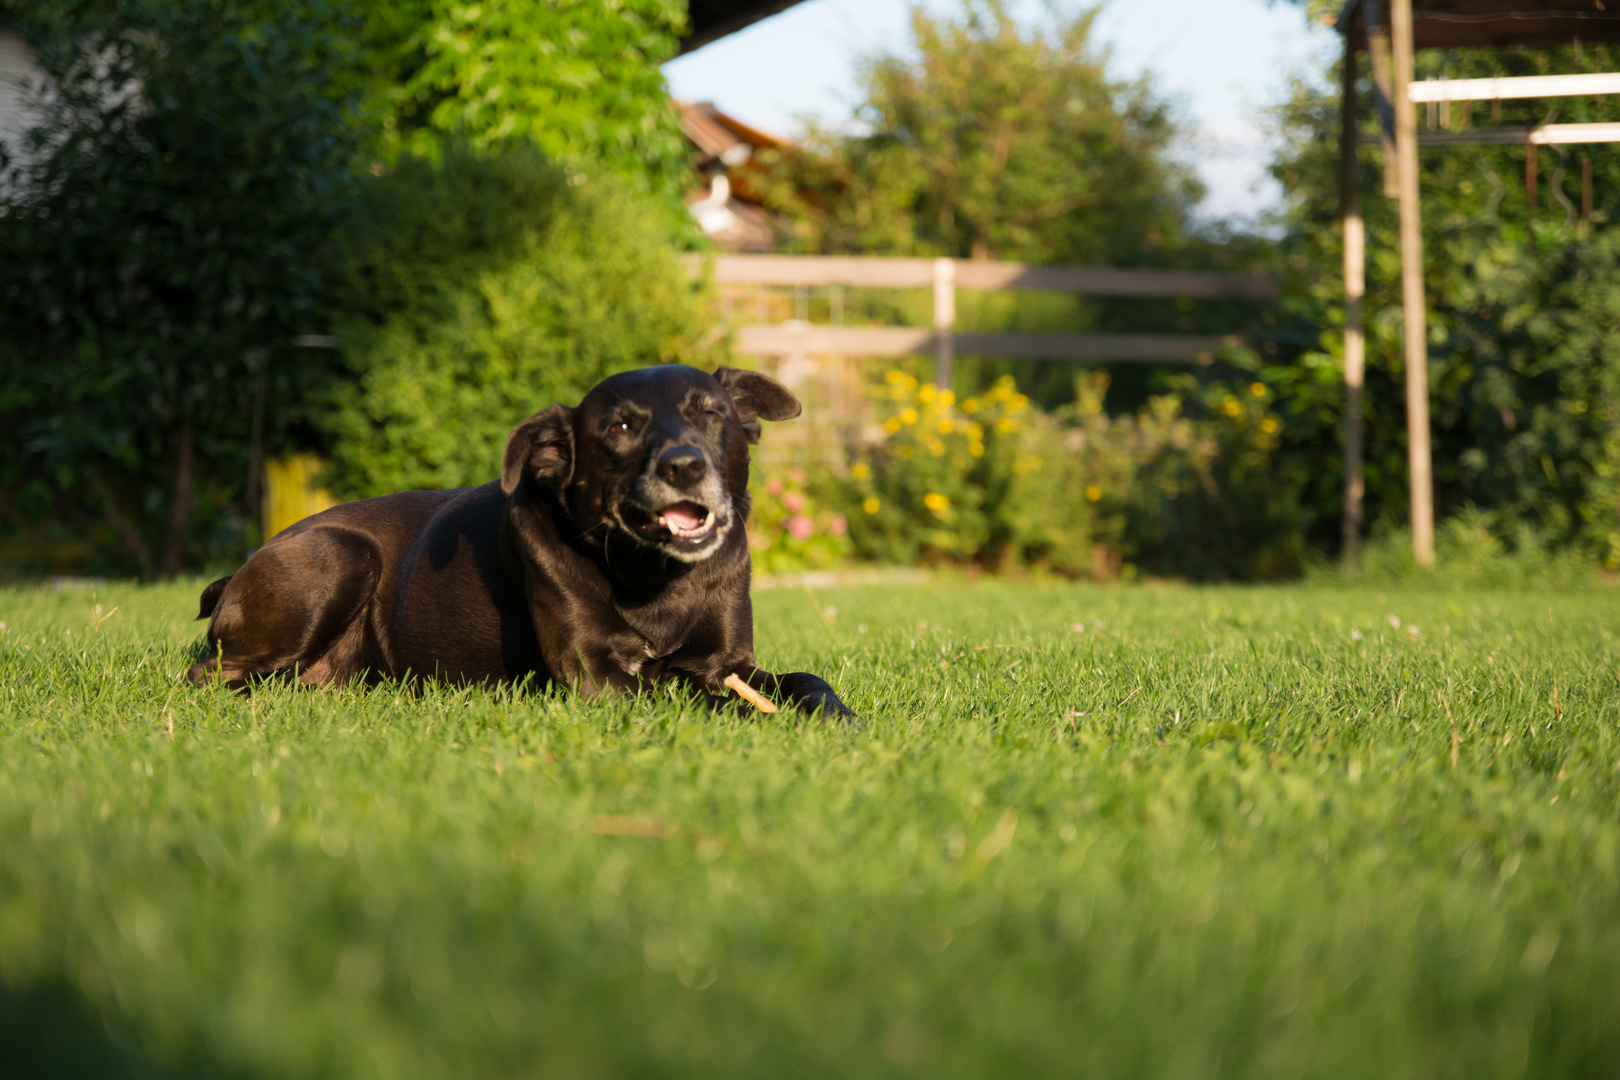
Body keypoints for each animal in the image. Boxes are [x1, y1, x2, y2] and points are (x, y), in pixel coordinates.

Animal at [187, 365, 855, 718]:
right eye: (619, 426)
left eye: (712, 414)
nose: (685, 465)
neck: (654, 578)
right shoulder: (596, 674)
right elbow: (690, 698)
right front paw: (757, 718)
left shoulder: (729, 663)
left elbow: (806, 681)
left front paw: (834, 715)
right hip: (340, 556)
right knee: (209, 674)